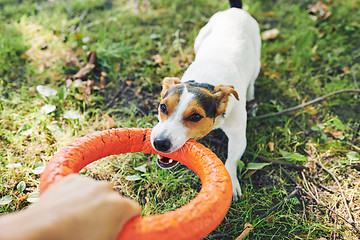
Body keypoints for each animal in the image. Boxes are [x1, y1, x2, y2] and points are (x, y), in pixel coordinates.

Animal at [150, 0, 260, 201]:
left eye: (195, 116)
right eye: (162, 107)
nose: (160, 142)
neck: (204, 81)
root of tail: (235, 9)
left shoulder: (238, 135)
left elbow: (232, 158)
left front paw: (231, 182)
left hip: (257, 58)